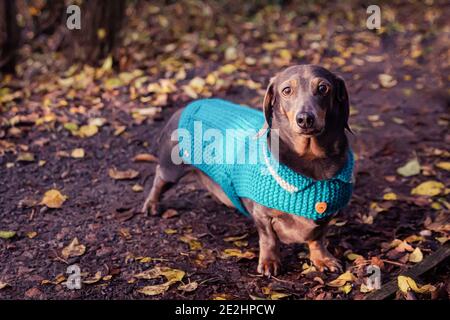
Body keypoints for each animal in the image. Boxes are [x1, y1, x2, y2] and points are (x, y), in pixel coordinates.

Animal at [142, 64, 354, 276]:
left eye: (323, 88)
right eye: (286, 90)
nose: (305, 119)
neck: (311, 159)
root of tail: (186, 107)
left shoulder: (328, 214)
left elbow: (318, 237)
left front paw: (322, 258)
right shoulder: (262, 214)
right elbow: (269, 239)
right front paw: (269, 262)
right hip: (171, 168)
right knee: (159, 178)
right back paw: (151, 204)